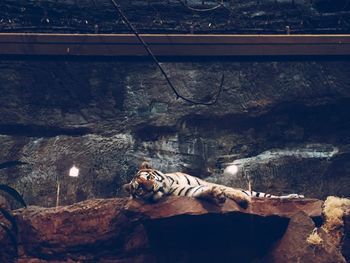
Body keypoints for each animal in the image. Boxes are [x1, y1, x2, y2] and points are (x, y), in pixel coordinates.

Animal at [123, 162, 304, 209]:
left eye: (148, 177)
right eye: (139, 189)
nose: (150, 188)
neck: (169, 185)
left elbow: (231, 189)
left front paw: (242, 198)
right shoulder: (186, 191)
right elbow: (201, 191)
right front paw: (215, 194)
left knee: (270, 196)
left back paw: (295, 196)